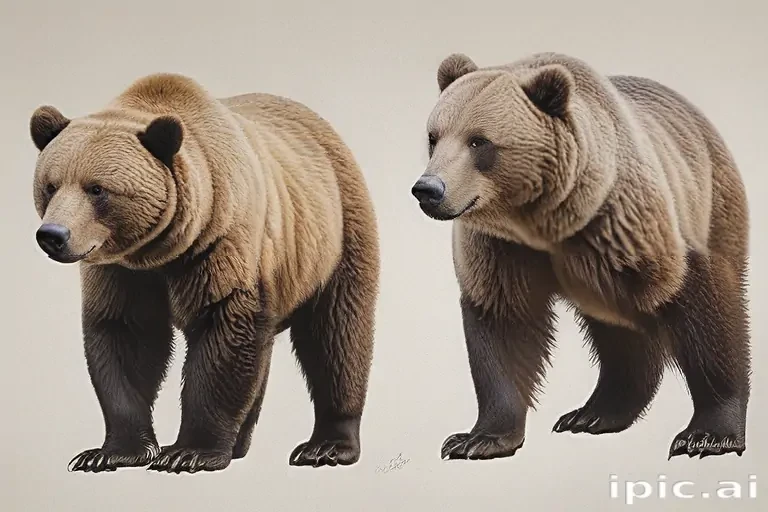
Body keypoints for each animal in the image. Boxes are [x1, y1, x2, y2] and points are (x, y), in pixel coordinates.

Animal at [29, 72, 380, 473]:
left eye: (97, 189)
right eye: (51, 185)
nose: (53, 235)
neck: (159, 251)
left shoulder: (220, 243)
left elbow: (223, 332)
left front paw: (190, 452)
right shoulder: (121, 271)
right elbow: (125, 336)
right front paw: (109, 452)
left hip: (335, 233)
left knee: (336, 334)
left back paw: (326, 446)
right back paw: (242, 442)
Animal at [411, 51, 750, 461]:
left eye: (479, 142)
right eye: (434, 137)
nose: (428, 189)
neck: (546, 220)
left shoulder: (628, 225)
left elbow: (700, 305)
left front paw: (707, 433)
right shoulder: (501, 248)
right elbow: (503, 321)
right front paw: (477, 439)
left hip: (712, 200)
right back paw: (595, 412)